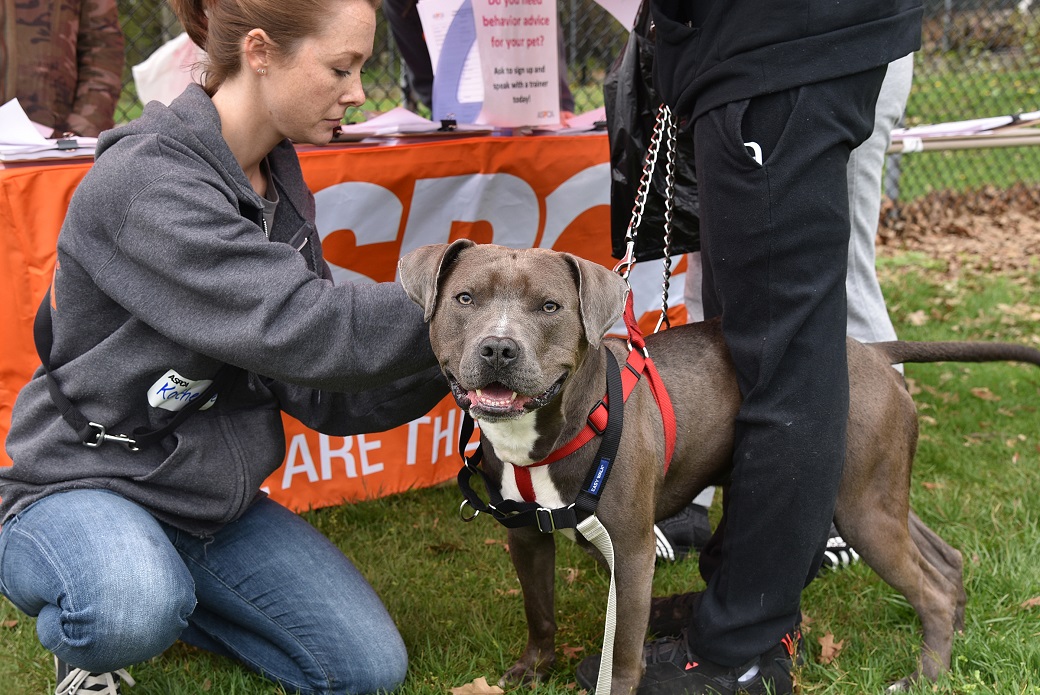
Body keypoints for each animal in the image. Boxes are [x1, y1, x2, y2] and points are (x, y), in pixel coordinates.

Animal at [397, 240, 1040, 695]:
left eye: (550, 307)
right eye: (465, 299)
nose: (499, 349)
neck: (560, 422)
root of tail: (873, 352)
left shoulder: (631, 552)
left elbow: (622, 649)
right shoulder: (527, 537)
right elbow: (540, 612)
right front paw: (532, 671)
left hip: (862, 510)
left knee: (927, 588)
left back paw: (925, 674)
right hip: (876, 492)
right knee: (944, 560)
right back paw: (954, 637)